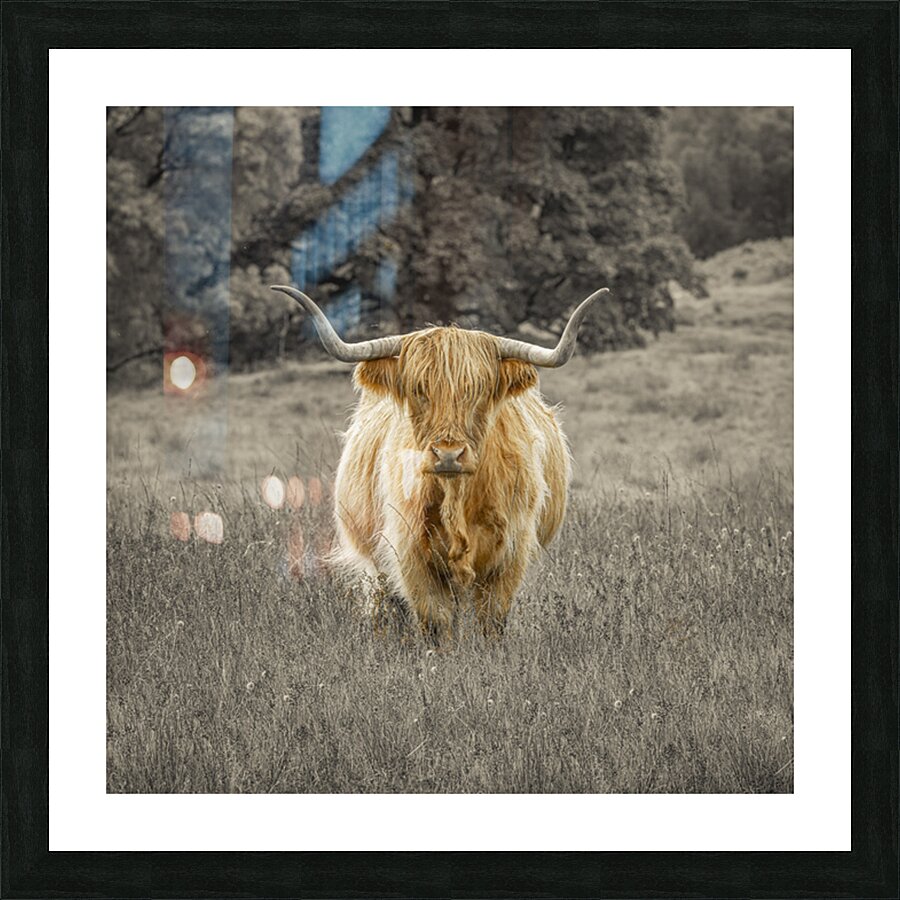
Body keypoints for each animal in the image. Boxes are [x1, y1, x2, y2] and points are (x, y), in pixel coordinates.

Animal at [271, 284, 608, 642]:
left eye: (478, 392)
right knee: (385, 607)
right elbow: (435, 622)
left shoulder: (509, 556)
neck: (457, 498)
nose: (448, 454)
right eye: (420, 390)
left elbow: (492, 622)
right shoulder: (410, 555)